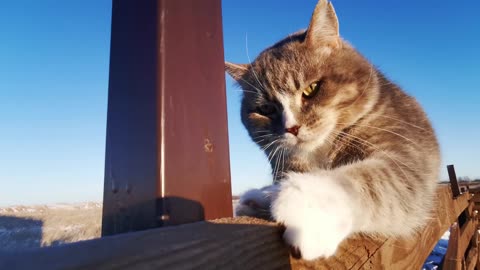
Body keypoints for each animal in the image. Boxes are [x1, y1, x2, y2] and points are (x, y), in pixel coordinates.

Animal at [227, 0, 440, 262]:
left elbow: (376, 180)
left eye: (311, 89)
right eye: (265, 109)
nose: (291, 127)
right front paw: (263, 197)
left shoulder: (407, 157)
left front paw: (303, 207)